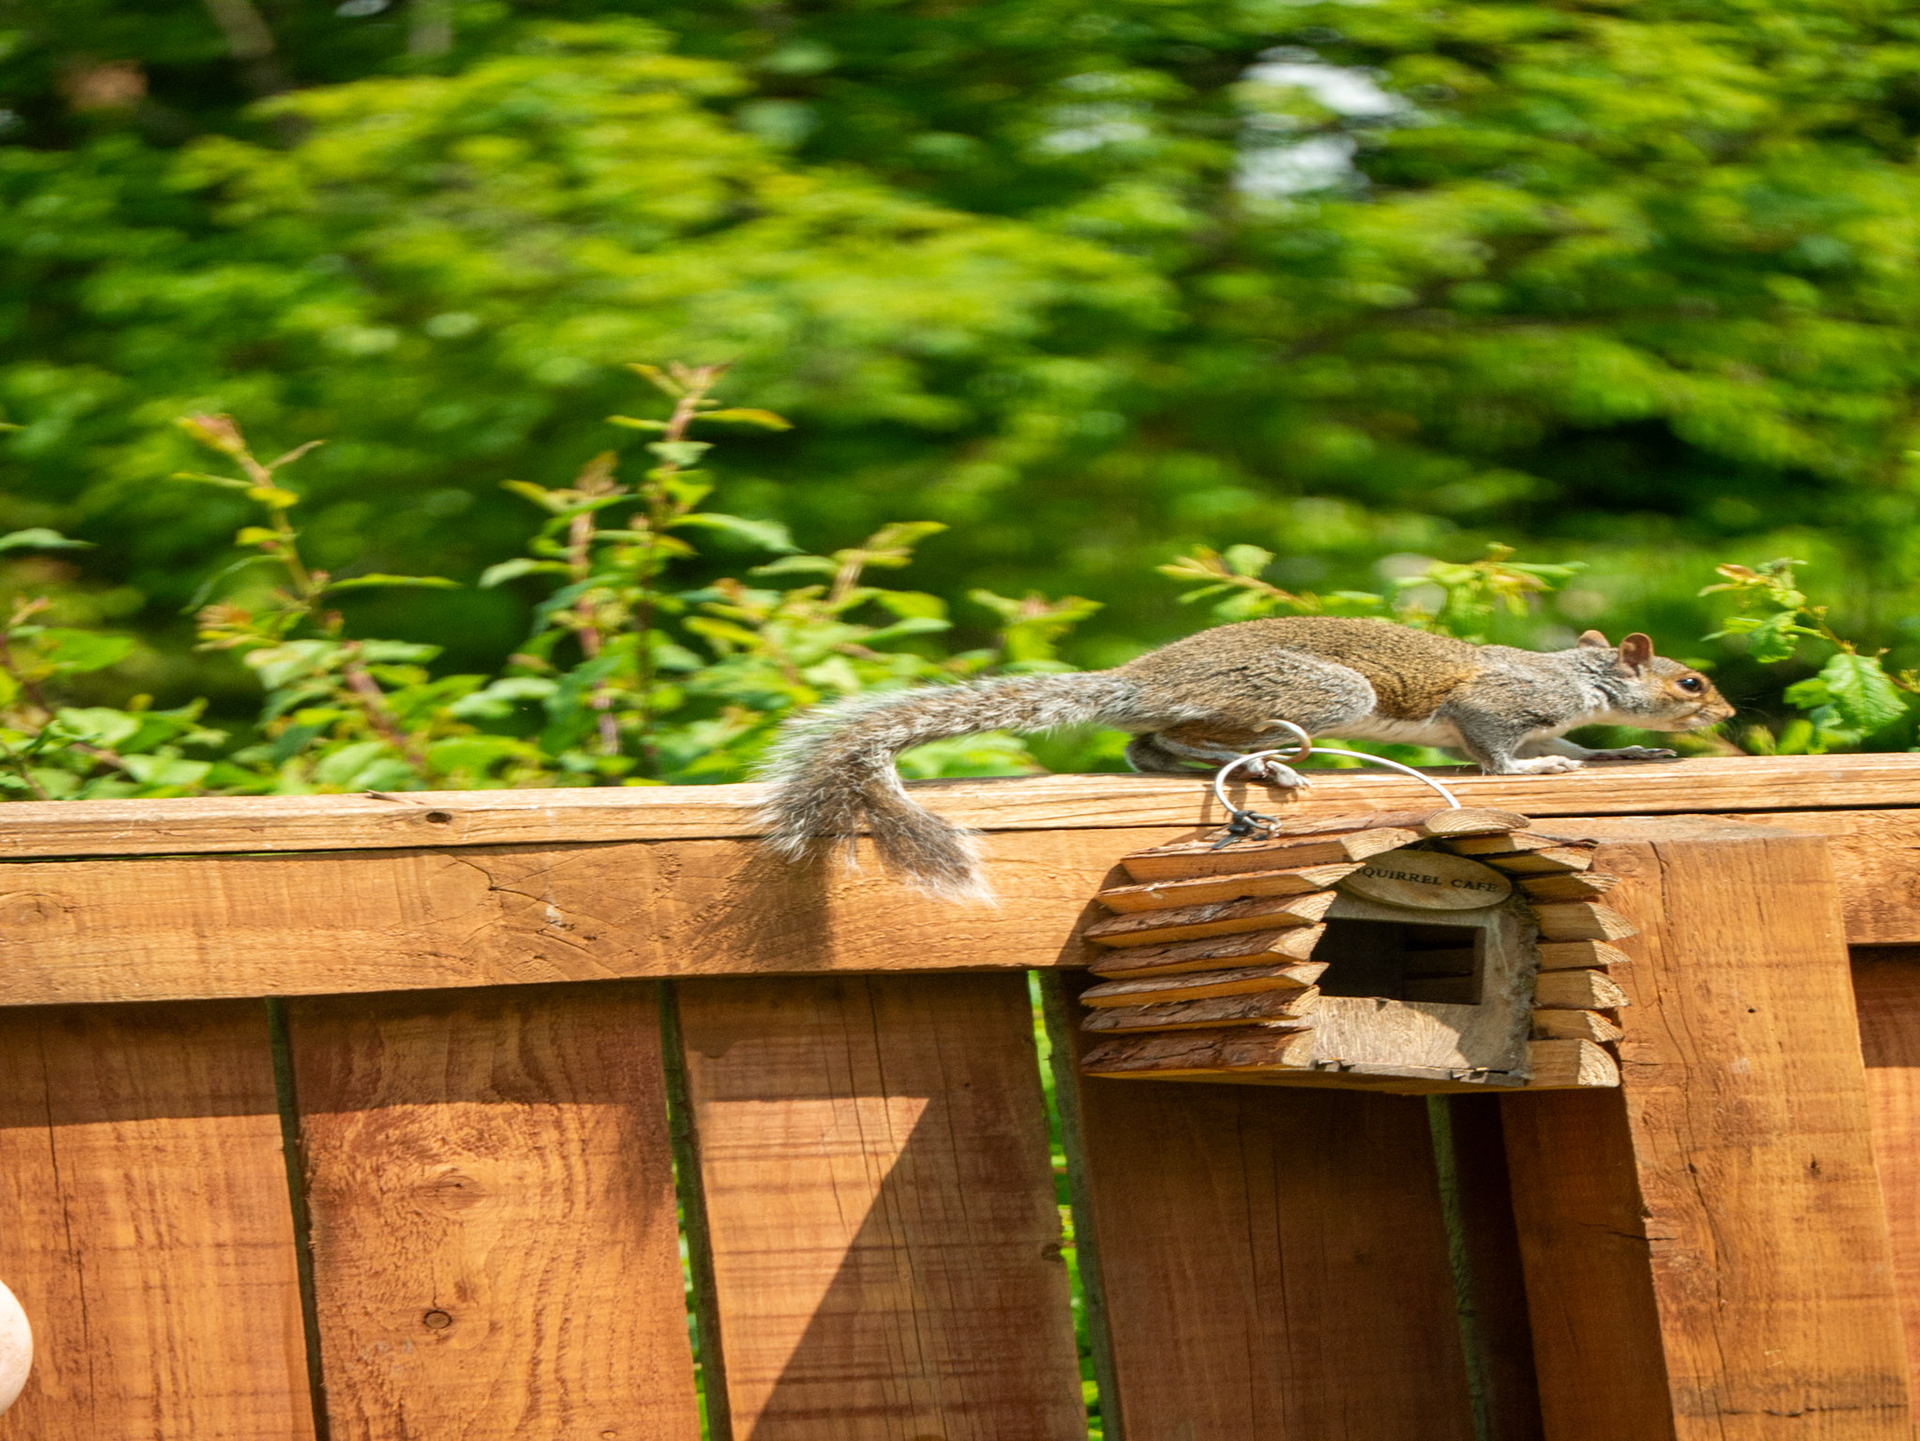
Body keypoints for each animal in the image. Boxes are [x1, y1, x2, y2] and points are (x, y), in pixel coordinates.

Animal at [758, 616, 1734, 899]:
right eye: (1691, 680)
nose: (1726, 711)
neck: (1581, 676)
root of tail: (1139, 677)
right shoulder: (1493, 708)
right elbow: (1496, 751)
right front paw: (1535, 773)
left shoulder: (1539, 716)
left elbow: (1566, 742)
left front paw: (1628, 749)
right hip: (1323, 695)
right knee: (1183, 735)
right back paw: (1267, 766)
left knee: (1145, 744)